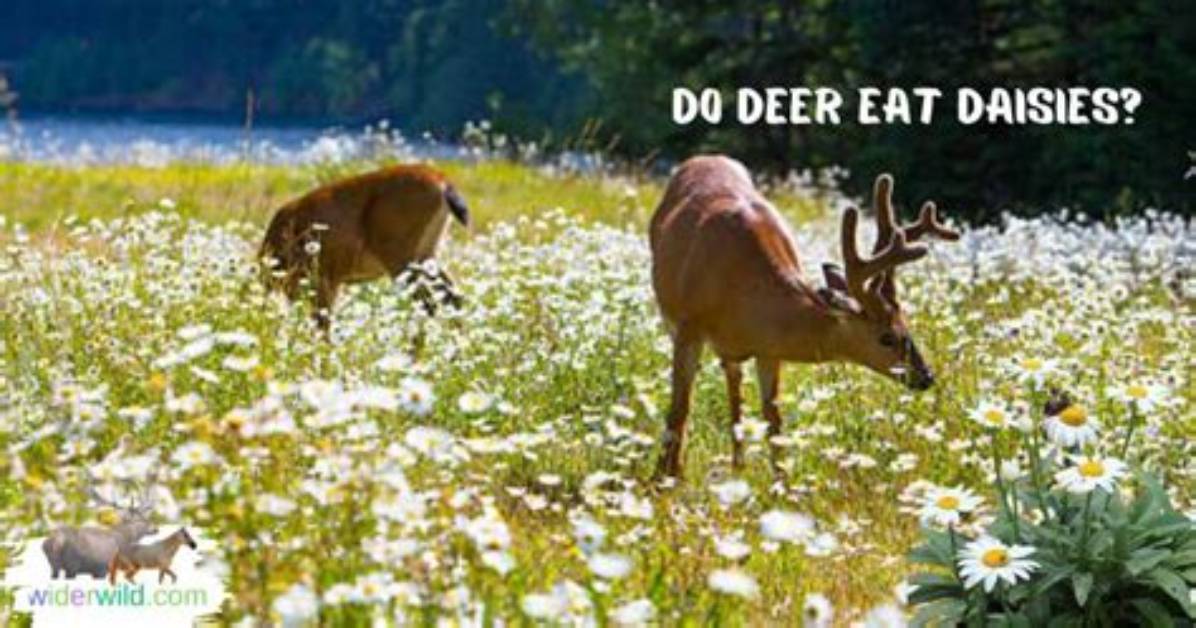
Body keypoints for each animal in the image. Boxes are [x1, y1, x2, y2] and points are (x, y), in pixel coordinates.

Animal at [260, 164, 471, 331]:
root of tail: (442, 180)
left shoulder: (321, 280)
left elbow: (322, 324)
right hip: (426, 253)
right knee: (453, 298)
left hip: (400, 255)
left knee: (427, 305)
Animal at [649, 155, 959, 479]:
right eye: (886, 337)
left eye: (906, 324)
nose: (926, 376)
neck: (740, 294)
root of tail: (705, 157)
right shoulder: (688, 327)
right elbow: (679, 407)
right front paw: (664, 478)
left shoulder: (769, 349)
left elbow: (774, 418)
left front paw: (781, 481)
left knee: (735, 383)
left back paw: (739, 464)